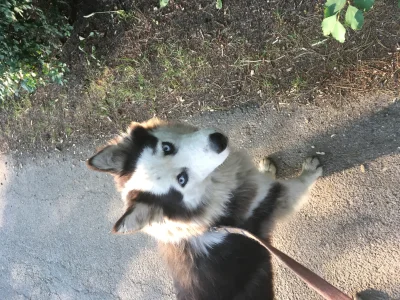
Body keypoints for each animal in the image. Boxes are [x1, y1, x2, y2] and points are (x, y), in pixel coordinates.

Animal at [86, 118, 322, 298]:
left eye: (166, 147)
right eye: (182, 179)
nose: (218, 140)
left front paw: (266, 169)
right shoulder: (274, 197)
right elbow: (299, 183)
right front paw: (310, 170)